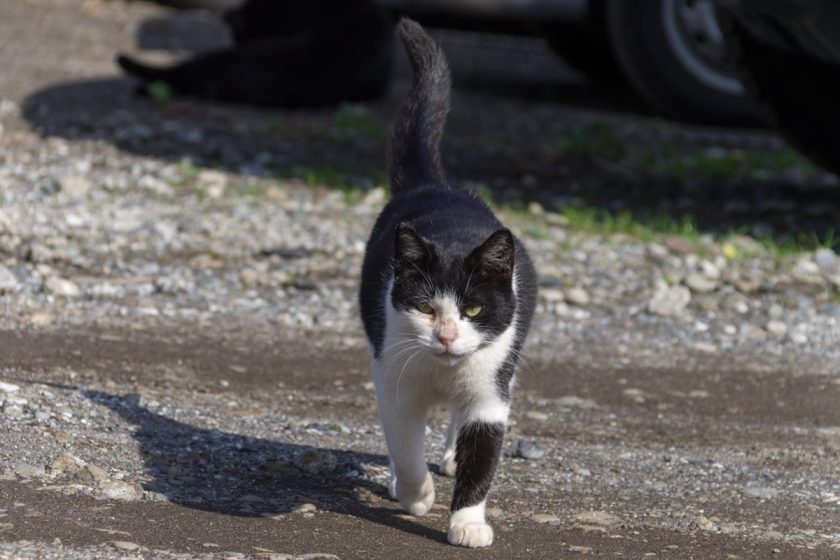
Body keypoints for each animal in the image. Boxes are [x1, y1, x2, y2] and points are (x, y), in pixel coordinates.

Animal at [358, 20, 536, 548]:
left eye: (473, 309)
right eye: (425, 307)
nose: (447, 336)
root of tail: (434, 186)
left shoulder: (490, 391)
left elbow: (485, 452)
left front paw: (468, 522)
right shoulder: (393, 379)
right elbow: (403, 439)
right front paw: (415, 494)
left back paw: (453, 455)